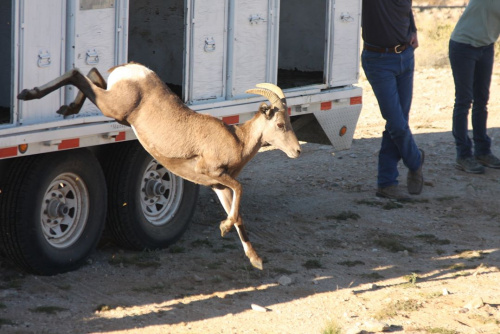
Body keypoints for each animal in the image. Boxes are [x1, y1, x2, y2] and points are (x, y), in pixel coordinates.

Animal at [17, 62, 300, 270]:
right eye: (280, 124)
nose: (297, 150)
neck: (236, 140)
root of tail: (131, 70)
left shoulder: (218, 186)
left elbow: (237, 213)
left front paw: (255, 259)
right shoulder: (212, 173)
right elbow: (240, 192)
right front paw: (224, 228)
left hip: (113, 104)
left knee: (92, 74)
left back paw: (63, 106)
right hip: (114, 107)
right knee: (79, 74)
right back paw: (30, 94)